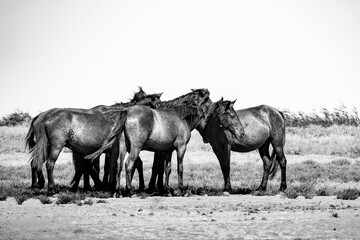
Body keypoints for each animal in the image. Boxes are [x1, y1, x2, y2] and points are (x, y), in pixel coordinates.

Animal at [25, 89, 160, 192]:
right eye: (156, 105)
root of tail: (44, 117)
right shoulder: (112, 150)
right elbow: (110, 167)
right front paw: (108, 186)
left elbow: (96, 167)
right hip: (55, 147)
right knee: (49, 164)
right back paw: (51, 188)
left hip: (45, 147)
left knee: (36, 163)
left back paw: (38, 185)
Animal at [84, 98, 243, 197]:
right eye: (231, 114)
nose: (241, 133)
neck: (182, 118)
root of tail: (127, 111)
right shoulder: (181, 148)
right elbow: (179, 168)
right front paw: (181, 189)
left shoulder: (168, 150)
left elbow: (168, 168)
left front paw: (167, 190)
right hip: (135, 148)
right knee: (129, 164)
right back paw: (129, 191)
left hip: (123, 147)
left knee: (119, 166)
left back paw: (118, 191)